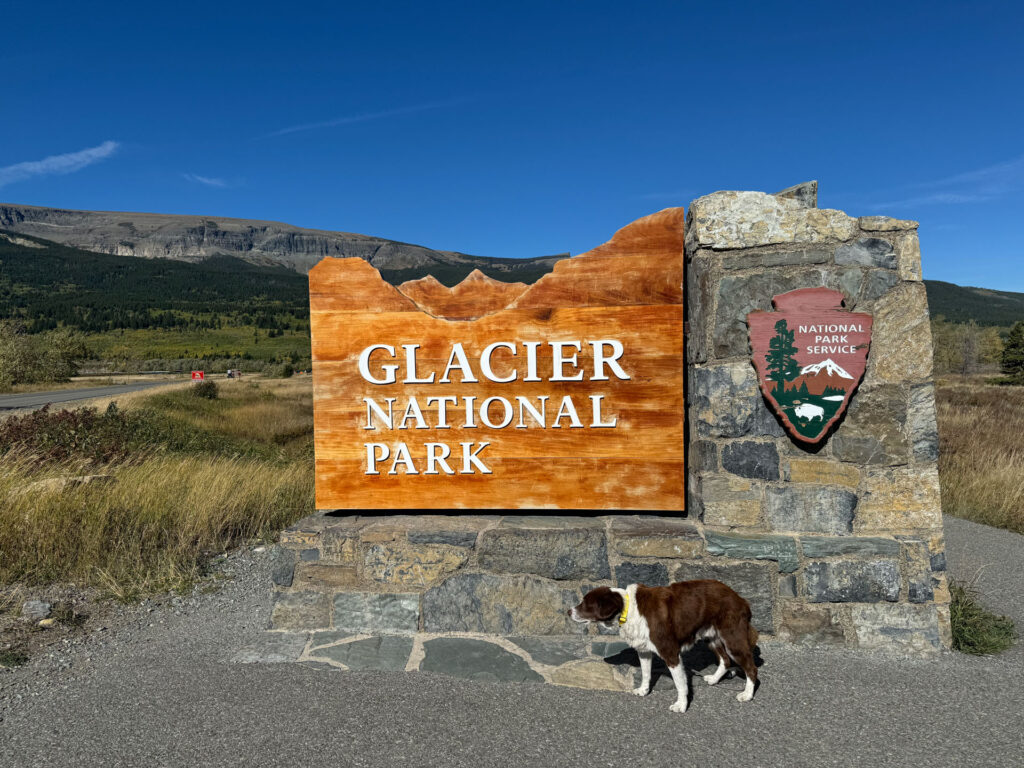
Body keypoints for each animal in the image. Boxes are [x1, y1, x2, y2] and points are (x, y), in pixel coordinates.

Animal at [573, 581, 757, 716]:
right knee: (725, 660)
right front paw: (643, 690)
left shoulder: (671, 653)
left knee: (751, 668)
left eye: (585, 604)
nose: (569, 611)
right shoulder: (644, 650)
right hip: (711, 637)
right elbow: (646, 673)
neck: (628, 608)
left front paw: (681, 705)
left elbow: (680, 684)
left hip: (732, 639)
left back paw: (747, 694)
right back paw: (714, 679)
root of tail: (741, 599)